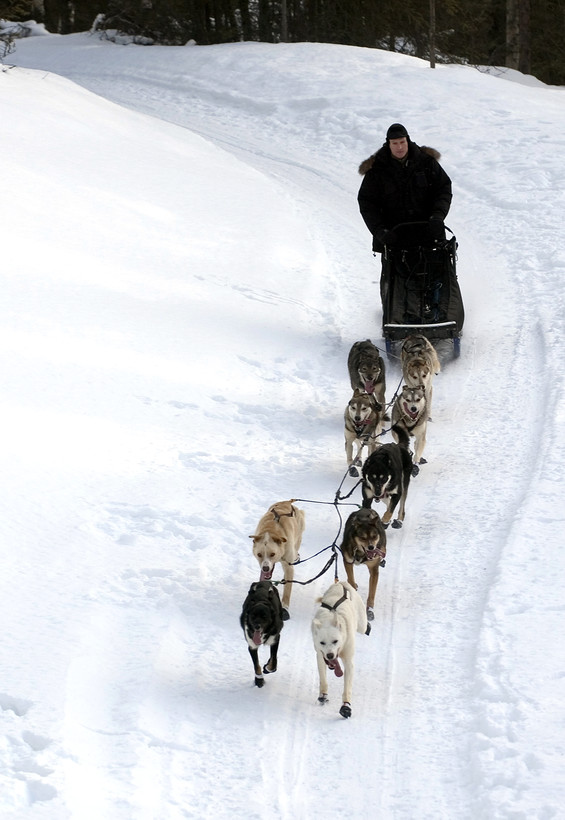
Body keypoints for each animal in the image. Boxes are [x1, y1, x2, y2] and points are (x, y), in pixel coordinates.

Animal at [308, 576, 370, 716]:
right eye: (322, 643)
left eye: (335, 641)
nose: (330, 655)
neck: (329, 619)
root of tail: (341, 583)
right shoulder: (320, 656)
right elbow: (323, 679)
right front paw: (323, 695)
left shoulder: (348, 662)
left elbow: (347, 687)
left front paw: (346, 706)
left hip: (361, 625)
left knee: (364, 627)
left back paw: (369, 627)